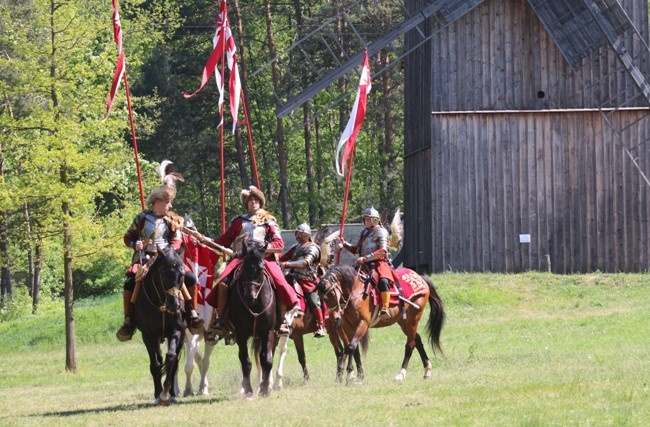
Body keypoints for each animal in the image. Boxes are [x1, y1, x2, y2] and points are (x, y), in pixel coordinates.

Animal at [132, 246, 186, 406]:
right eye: (164, 273)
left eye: (182, 274)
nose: (174, 305)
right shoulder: (148, 336)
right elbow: (155, 365)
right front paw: (158, 394)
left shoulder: (177, 331)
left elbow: (171, 358)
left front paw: (166, 393)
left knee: (173, 363)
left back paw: (172, 394)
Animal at [227, 239, 278, 400]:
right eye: (244, 266)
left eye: (261, 268)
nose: (250, 297)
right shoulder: (241, 334)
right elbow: (245, 361)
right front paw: (248, 390)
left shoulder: (268, 332)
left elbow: (266, 360)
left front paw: (265, 389)